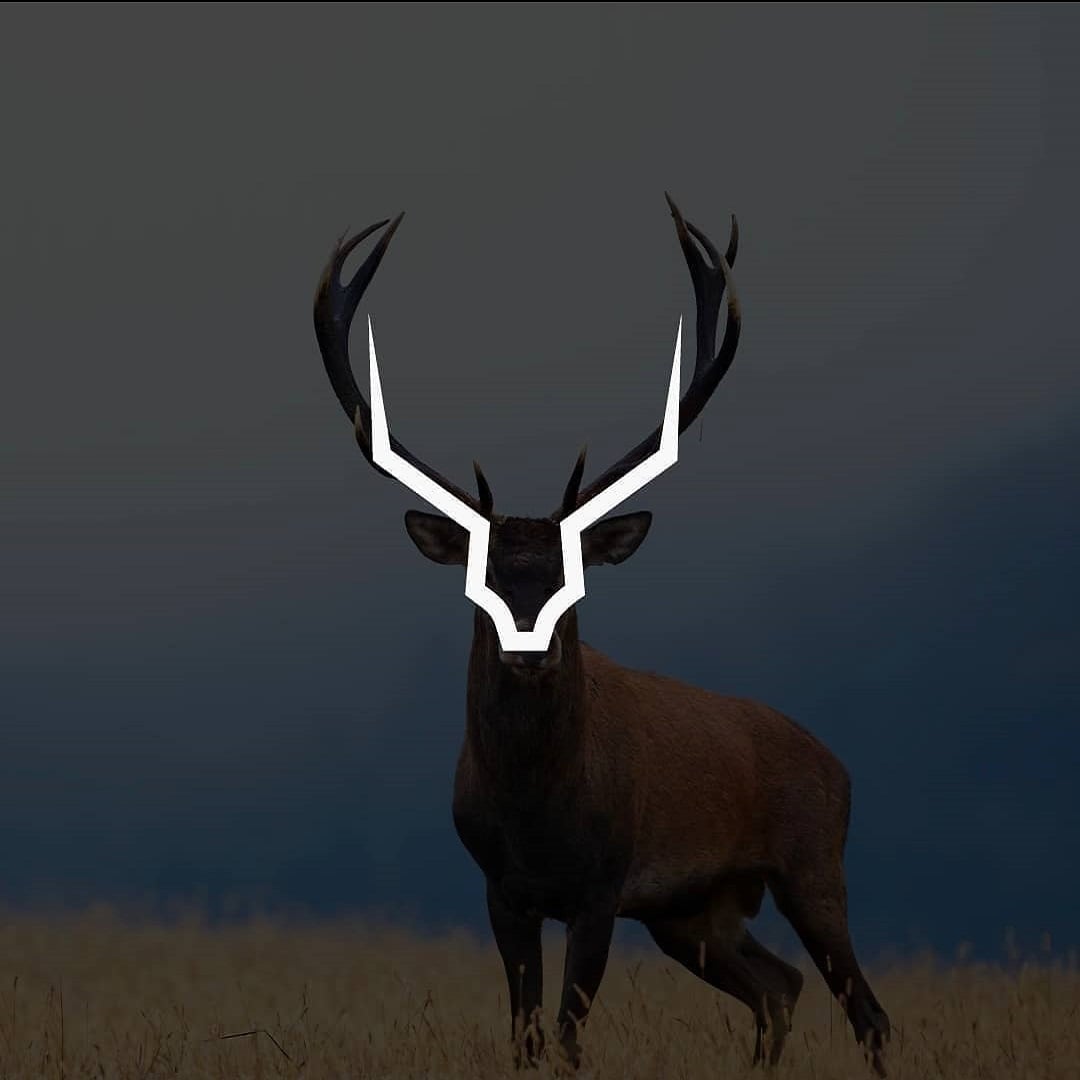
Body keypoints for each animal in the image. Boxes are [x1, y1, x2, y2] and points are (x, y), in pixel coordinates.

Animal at [311, 195, 892, 1075]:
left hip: (813, 861)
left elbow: (568, 1033)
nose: (530, 645)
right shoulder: (501, 888)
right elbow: (526, 1034)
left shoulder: (602, 885)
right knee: (779, 985)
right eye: (482, 573)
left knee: (865, 1007)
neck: (536, 812)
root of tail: (840, 767)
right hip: (694, 910)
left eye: (574, 571)